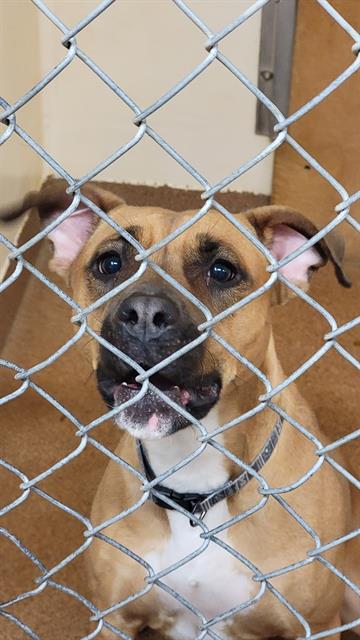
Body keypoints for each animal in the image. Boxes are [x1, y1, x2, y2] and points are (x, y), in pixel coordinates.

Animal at [1, 180, 358, 640]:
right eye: (110, 263)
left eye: (222, 271)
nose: (144, 314)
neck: (194, 485)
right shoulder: (114, 618)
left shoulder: (314, 625)